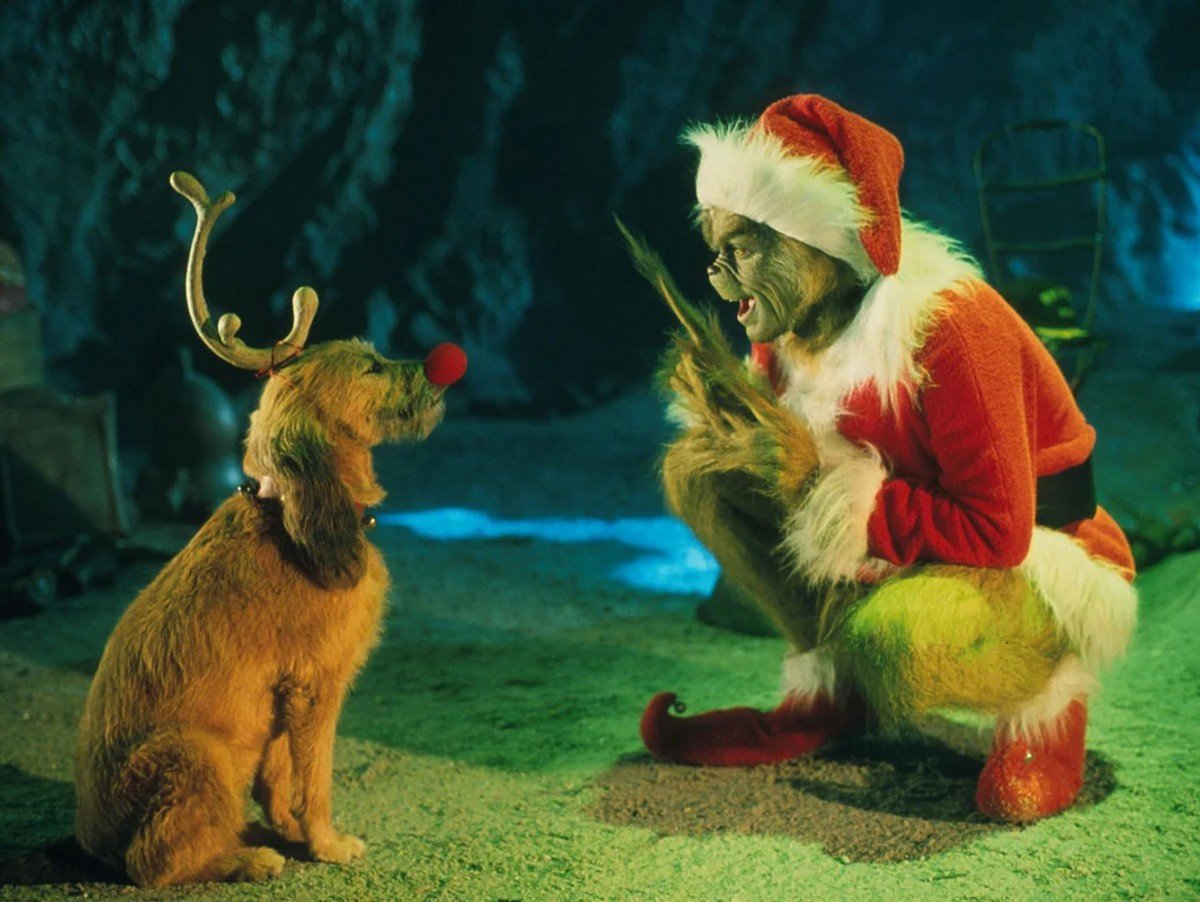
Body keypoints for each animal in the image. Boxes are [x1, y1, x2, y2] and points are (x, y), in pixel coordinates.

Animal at [72, 172, 453, 882]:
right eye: (370, 367)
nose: (438, 365)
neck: (287, 512)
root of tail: (91, 841)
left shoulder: (282, 702)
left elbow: (282, 783)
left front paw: (295, 832)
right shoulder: (314, 686)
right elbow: (316, 778)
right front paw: (326, 844)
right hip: (196, 756)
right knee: (155, 863)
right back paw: (247, 859)